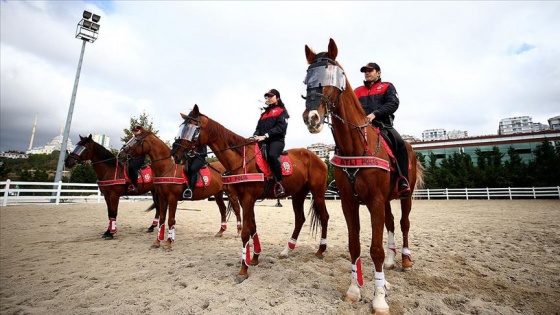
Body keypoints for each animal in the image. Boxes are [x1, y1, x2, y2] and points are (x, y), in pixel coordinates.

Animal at [168, 105, 330, 284]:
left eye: (193, 129)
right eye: (182, 128)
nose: (175, 154)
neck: (241, 159)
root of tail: (317, 158)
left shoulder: (247, 199)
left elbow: (246, 231)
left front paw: (243, 269)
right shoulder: (245, 200)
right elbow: (253, 227)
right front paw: (255, 257)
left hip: (318, 192)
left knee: (324, 217)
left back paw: (321, 250)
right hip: (298, 194)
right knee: (300, 219)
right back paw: (288, 249)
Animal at [302, 39, 424, 314]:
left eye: (333, 76)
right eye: (307, 77)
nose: (311, 117)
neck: (356, 145)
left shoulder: (375, 201)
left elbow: (375, 249)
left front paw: (379, 298)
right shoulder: (350, 202)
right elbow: (354, 245)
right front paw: (354, 290)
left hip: (405, 195)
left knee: (404, 224)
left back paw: (405, 260)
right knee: (391, 223)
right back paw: (391, 260)